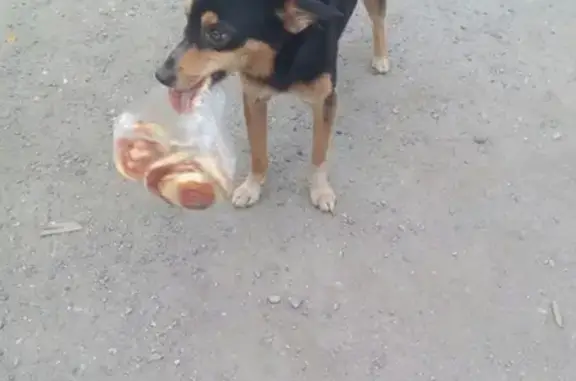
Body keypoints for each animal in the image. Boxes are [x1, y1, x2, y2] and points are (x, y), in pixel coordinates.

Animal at [155, 0, 390, 214]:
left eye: (217, 34)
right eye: (187, 19)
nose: (161, 76)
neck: (283, 50)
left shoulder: (324, 100)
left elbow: (319, 152)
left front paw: (321, 190)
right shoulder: (253, 97)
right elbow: (258, 151)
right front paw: (251, 187)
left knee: (378, 19)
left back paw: (381, 57)